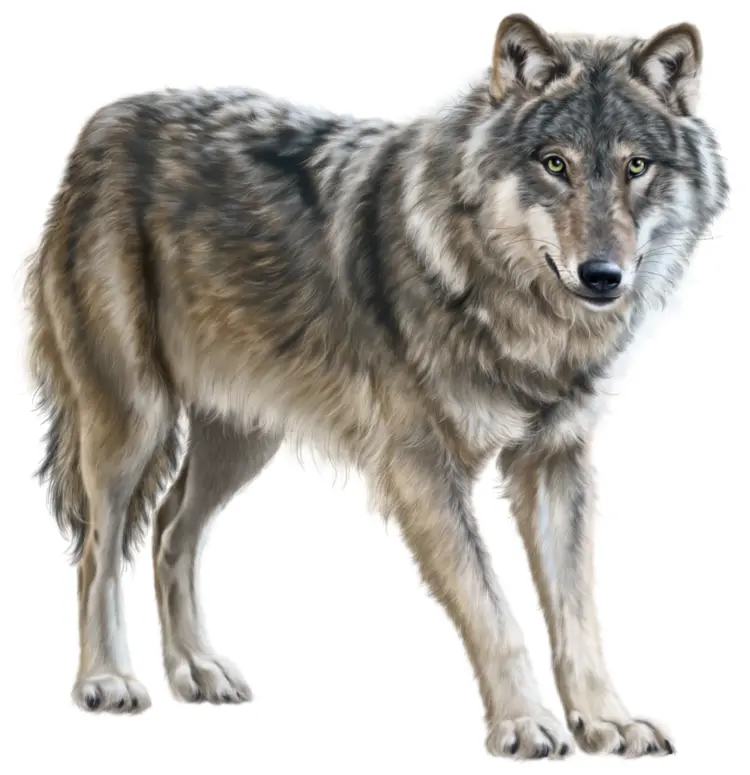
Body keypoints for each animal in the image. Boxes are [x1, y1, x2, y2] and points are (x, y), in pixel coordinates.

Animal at [24, 12, 727, 759]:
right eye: (555, 163)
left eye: (636, 166)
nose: (602, 275)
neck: (511, 308)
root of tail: (104, 123)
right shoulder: (422, 469)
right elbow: (493, 609)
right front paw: (523, 723)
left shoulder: (554, 463)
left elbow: (578, 614)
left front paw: (606, 719)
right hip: (134, 421)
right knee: (97, 550)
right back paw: (107, 679)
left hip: (243, 438)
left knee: (168, 528)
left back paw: (197, 668)